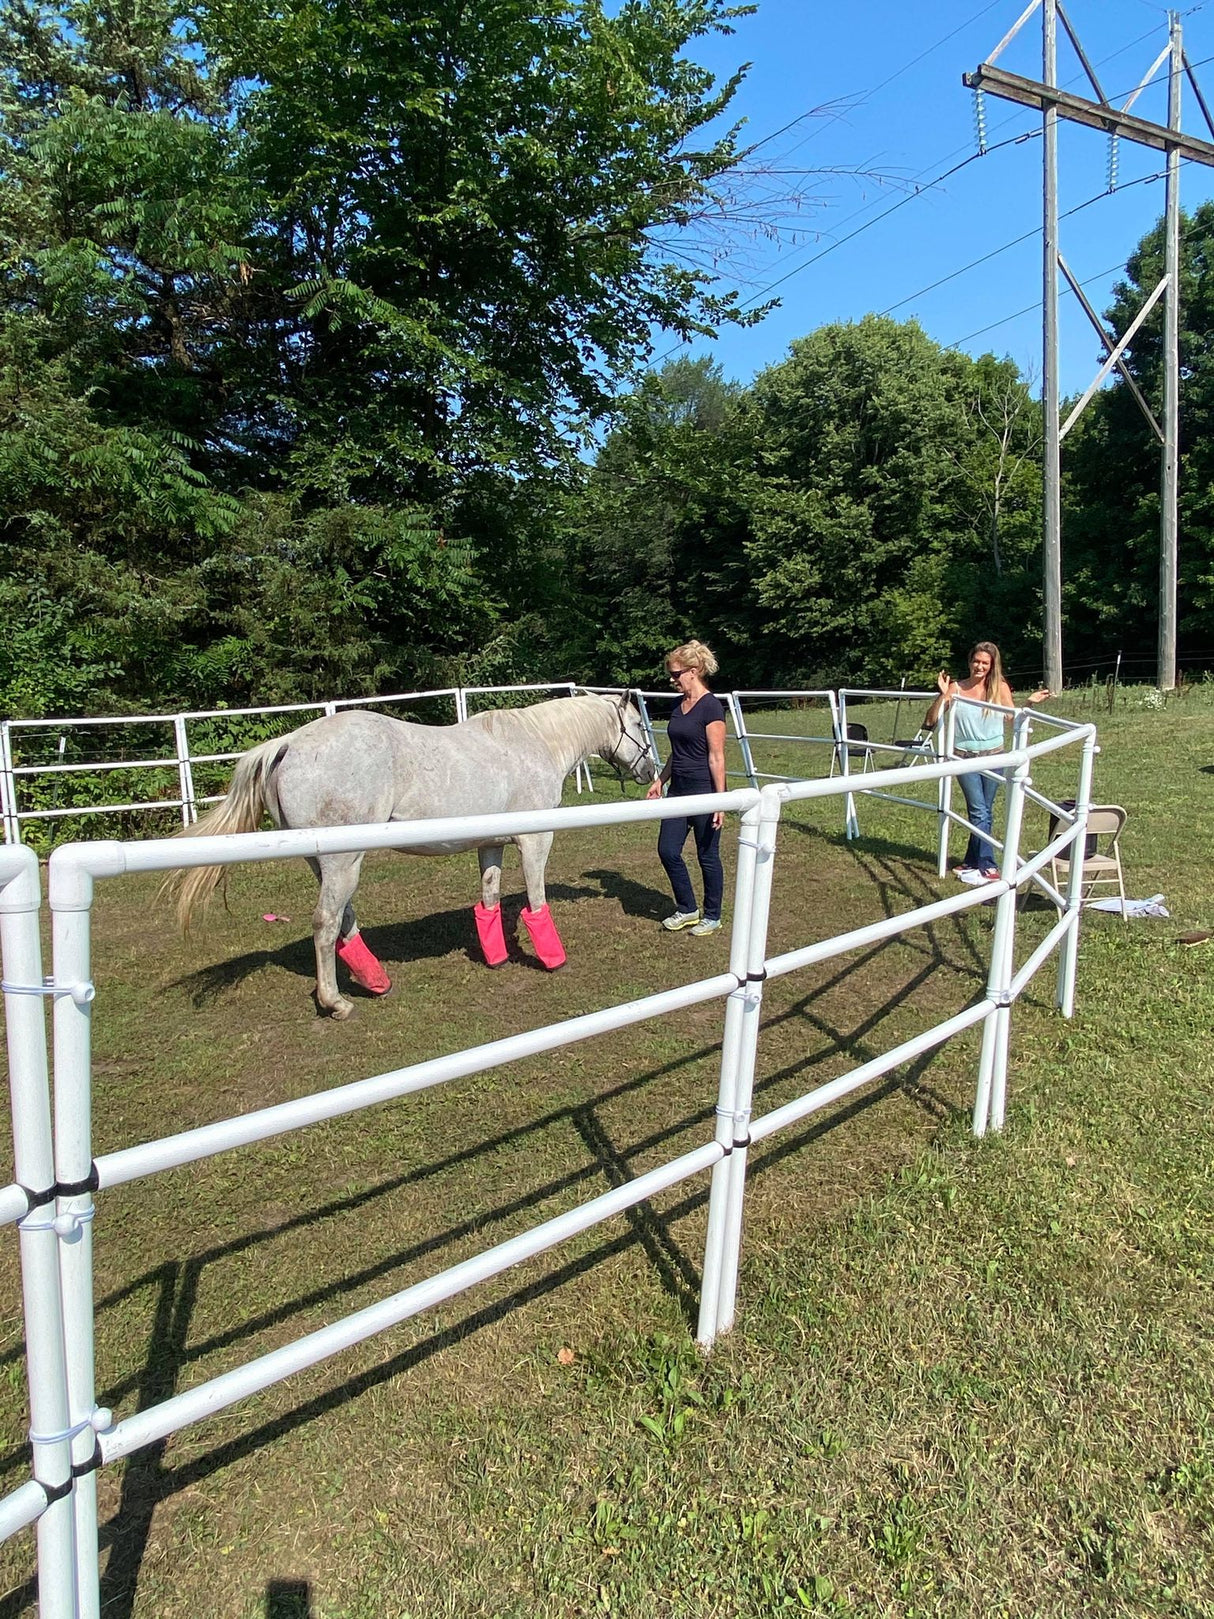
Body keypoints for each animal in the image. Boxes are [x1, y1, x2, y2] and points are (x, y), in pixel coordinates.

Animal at [169, 693, 658, 1018]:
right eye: (639, 726)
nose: (651, 771)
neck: (534, 742)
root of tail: (288, 744)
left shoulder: (490, 844)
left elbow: (489, 898)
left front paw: (496, 957)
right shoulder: (535, 841)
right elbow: (536, 902)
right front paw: (553, 959)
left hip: (328, 864)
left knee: (342, 918)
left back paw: (376, 982)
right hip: (343, 861)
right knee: (326, 923)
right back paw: (336, 1002)